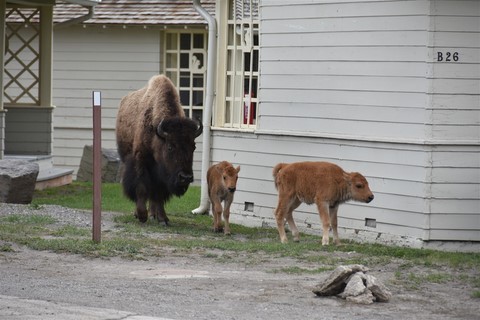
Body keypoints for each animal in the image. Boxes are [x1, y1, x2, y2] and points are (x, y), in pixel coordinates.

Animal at [116, 75, 202, 225]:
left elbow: (159, 194)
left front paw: (163, 219)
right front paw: (141, 215)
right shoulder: (140, 161)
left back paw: (153, 214)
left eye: (194, 146)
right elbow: (141, 188)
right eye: (170, 146)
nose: (185, 178)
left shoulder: (163, 175)